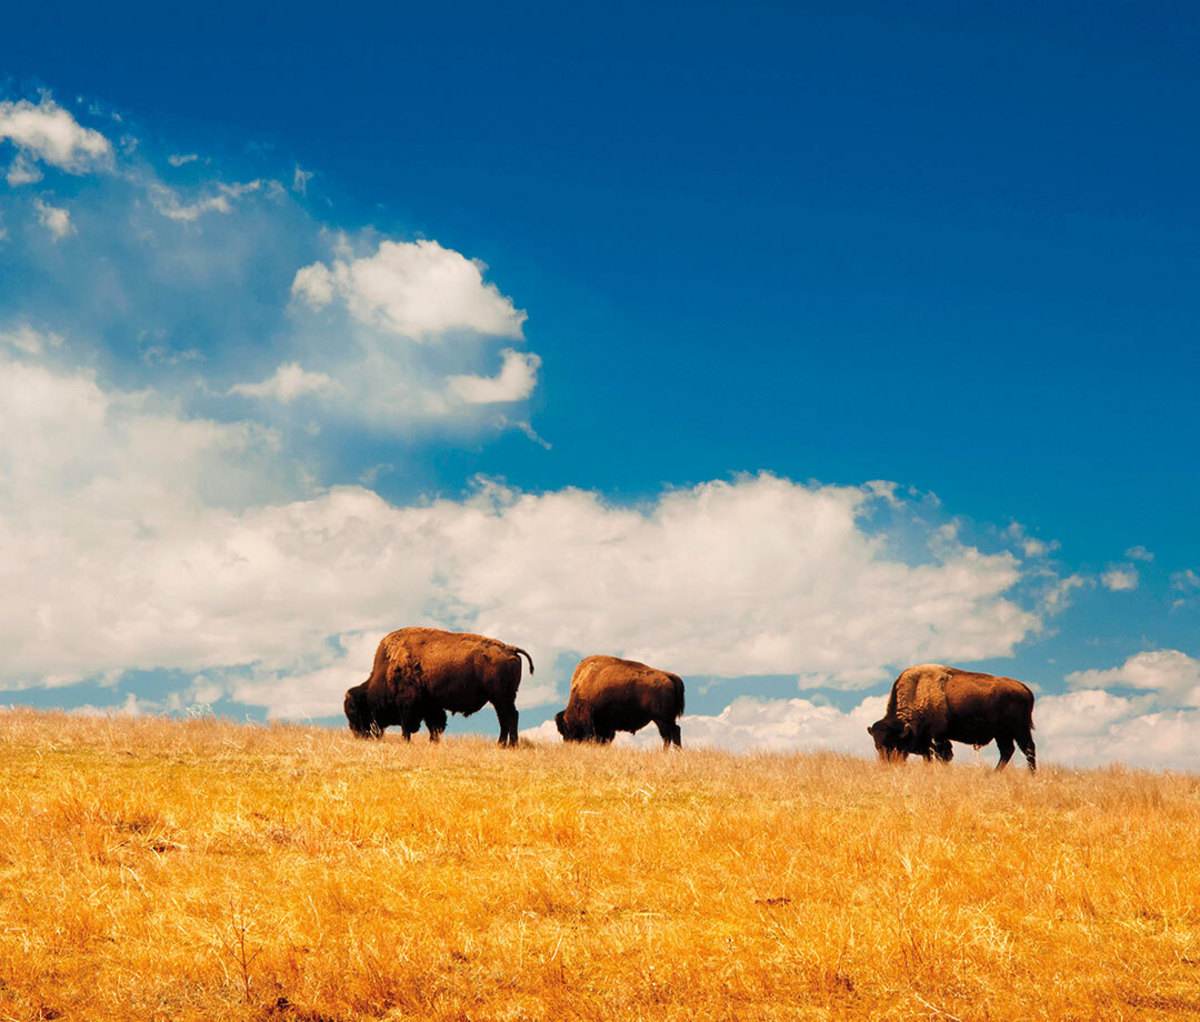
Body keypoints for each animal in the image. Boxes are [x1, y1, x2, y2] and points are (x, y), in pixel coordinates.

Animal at [345, 628, 537, 748]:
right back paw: (504, 744)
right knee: (506, 718)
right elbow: (435, 726)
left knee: (509, 717)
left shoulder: (408, 705)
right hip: (502, 699)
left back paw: (509, 745)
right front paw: (433, 742)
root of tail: (510, 649)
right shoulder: (431, 706)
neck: (387, 669)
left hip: (501, 698)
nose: (358, 735)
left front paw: (407, 741)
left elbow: (408, 727)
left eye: (356, 712)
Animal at [552, 657, 686, 748]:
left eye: (565, 728)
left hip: (661, 719)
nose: (567, 742)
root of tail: (668, 676)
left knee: (669, 734)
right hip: (664, 719)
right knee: (674, 732)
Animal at [868, 666, 1036, 772]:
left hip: (1019, 729)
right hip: (1002, 734)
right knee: (1008, 750)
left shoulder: (937, 737)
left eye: (894, 745)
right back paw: (994, 774)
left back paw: (1031, 775)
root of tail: (1024, 688)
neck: (918, 690)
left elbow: (942, 755)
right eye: (877, 746)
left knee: (1028, 749)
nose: (887, 765)